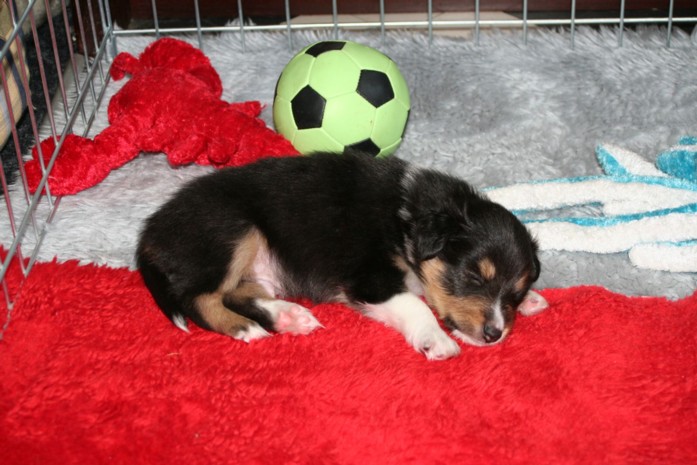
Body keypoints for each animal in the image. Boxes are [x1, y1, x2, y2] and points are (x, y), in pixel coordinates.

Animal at [137, 152, 548, 360]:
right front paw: (437, 341)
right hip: (232, 230)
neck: (406, 219)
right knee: (199, 299)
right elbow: (415, 305)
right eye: (474, 277)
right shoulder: (369, 279)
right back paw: (245, 328)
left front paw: (532, 301)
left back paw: (289, 316)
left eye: (514, 291)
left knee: (240, 292)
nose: (494, 334)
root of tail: (150, 230)